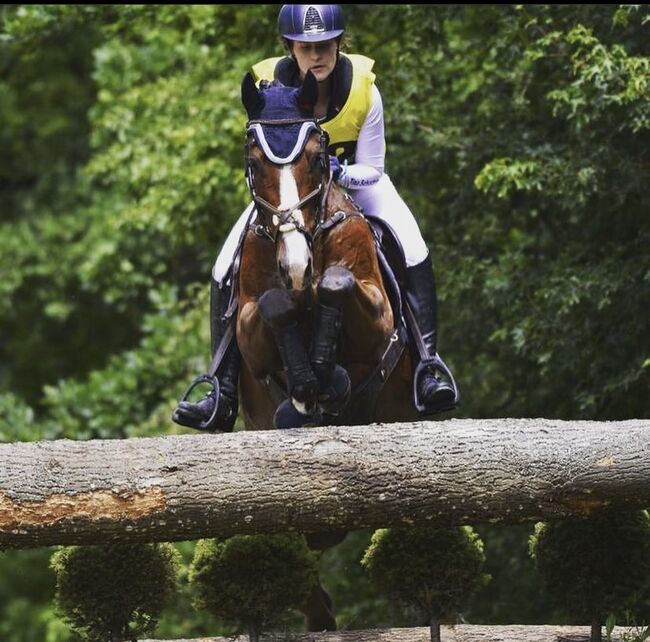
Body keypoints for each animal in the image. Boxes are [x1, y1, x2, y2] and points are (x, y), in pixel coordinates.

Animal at [233, 69, 416, 624]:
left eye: (318, 159)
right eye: (254, 164)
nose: (295, 266)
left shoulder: (378, 314)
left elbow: (338, 282)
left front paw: (325, 376)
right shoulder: (251, 327)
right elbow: (275, 304)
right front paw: (305, 385)